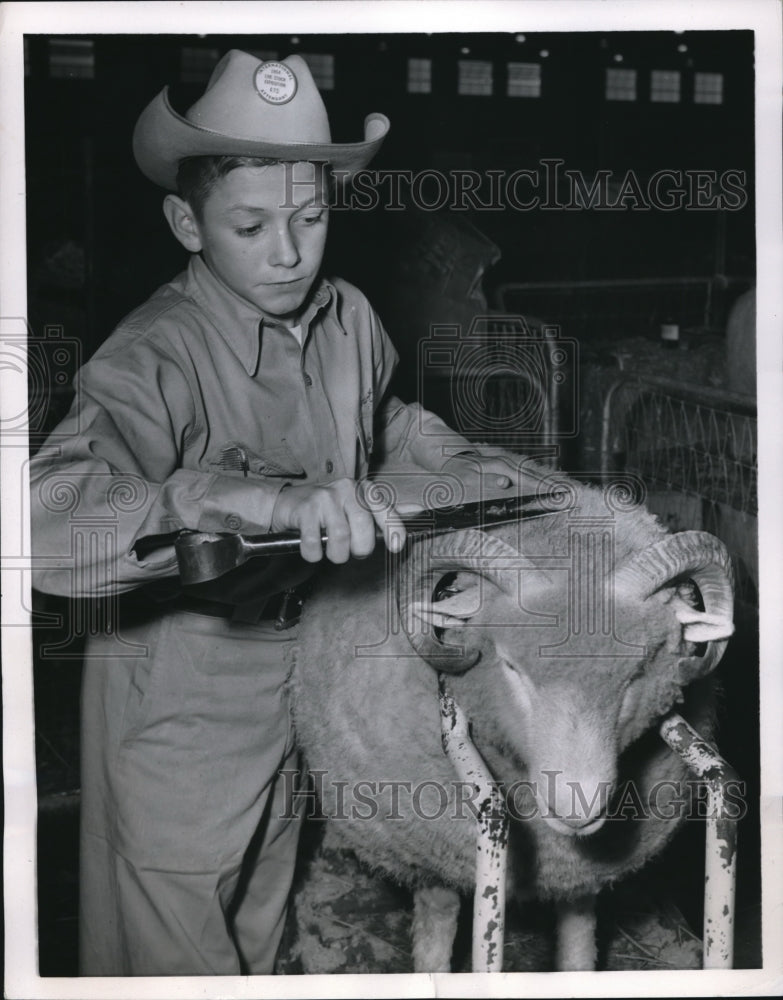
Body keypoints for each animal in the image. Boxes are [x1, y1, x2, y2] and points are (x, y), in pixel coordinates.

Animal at [288, 464, 736, 972]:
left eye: (639, 670)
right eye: (510, 666)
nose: (576, 807)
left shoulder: (578, 869)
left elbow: (579, 936)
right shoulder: (434, 852)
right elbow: (437, 926)